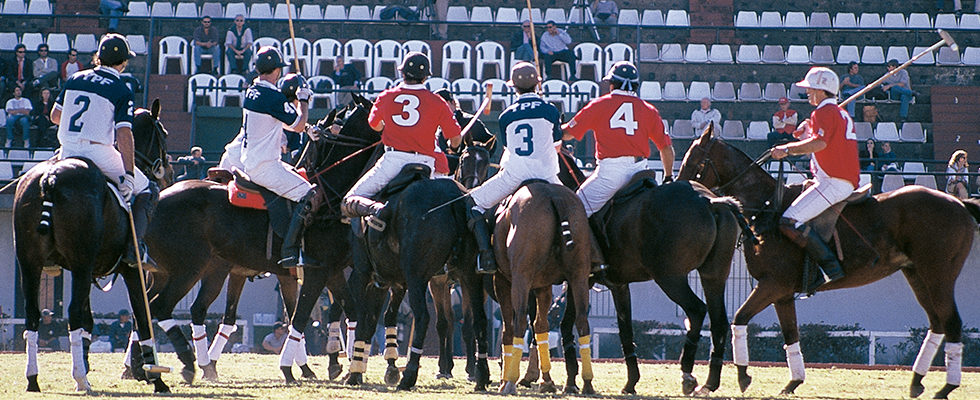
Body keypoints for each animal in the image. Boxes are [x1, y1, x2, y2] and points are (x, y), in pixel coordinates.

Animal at [13, 101, 170, 394]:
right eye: (163, 134)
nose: (170, 172)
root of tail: (50, 178)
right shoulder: (131, 270)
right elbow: (142, 317)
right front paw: (157, 378)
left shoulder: (86, 270)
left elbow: (88, 320)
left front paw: (85, 368)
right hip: (80, 263)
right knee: (72, 313)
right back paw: (78, 379)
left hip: (31, 262)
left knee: (33, 314)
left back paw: (33, 379)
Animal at [144, 94, 384, 384]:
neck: (329, 195)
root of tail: (157, 199)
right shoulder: (315, 271)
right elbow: (300, 318)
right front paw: (291, 368)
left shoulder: (332, 271)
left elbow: (349, 312)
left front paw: (342, 366)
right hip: (190, 268)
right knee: (162, 306)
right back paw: (190, 362)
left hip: (177, 270)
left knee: (156, 307)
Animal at [494, 183, 592, 396]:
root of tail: (554, 196)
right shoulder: (543, 285)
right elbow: (541, 326)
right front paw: (546, 380)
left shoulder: (502, 280)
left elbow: (509, 329)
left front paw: (505, 381)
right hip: (579, 274)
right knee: (582, 320)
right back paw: (588, 383)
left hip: (521, 277)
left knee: (519, 321)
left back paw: (511, 382)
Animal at [676, 127, 980, 396]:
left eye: (693, 160)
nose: (678, 186)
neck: (765, 207)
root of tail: (960, 204)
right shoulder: (781, 293)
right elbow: (790, 335)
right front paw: (792, 382)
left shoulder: (773, 284)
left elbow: (740, 318)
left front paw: (742, 376)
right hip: (916, 273)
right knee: (937, 323)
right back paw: (917, 382)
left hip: (939, 274)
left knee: (952, 323)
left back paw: (946, 387)